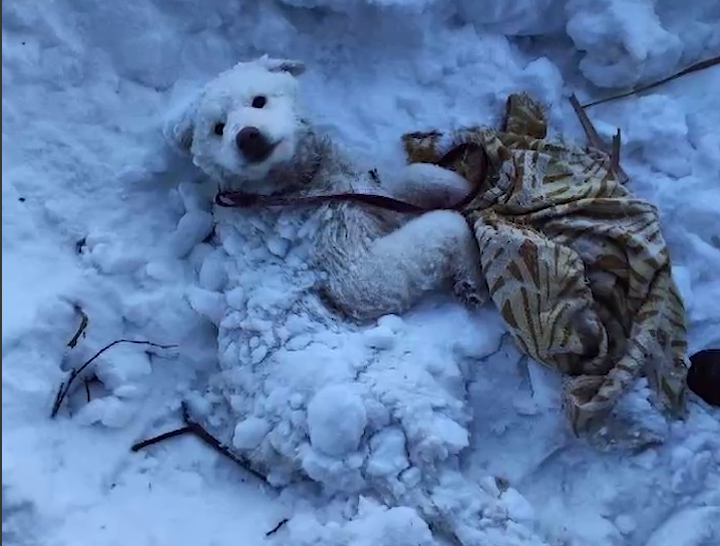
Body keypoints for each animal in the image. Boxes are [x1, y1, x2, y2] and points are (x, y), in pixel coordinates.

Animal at [166, 55, 486, 318]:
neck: (292, 189)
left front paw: (462, 186)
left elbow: (413, 178)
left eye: (258, 100)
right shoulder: (351, 269)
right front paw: (472, 278)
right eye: (218, 128)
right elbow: (445, 224)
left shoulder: (368, 193)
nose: (247, 136)